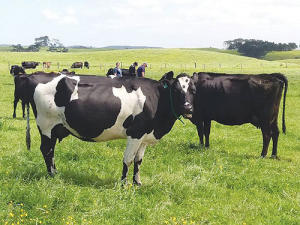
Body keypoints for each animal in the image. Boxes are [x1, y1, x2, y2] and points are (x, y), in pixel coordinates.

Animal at [24, 71, 198, 185]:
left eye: (194, 90)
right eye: (176, 90)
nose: (188, 108)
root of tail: (35, 75)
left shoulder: (145, 136)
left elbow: (138, 160)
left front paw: (137, 182)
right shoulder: (135, 133)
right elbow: (128, 159)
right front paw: (124, 184)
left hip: (54, 128)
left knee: (51, 150)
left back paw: (56, 173)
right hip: (46, 125)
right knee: (47, 150)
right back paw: (52, 175)